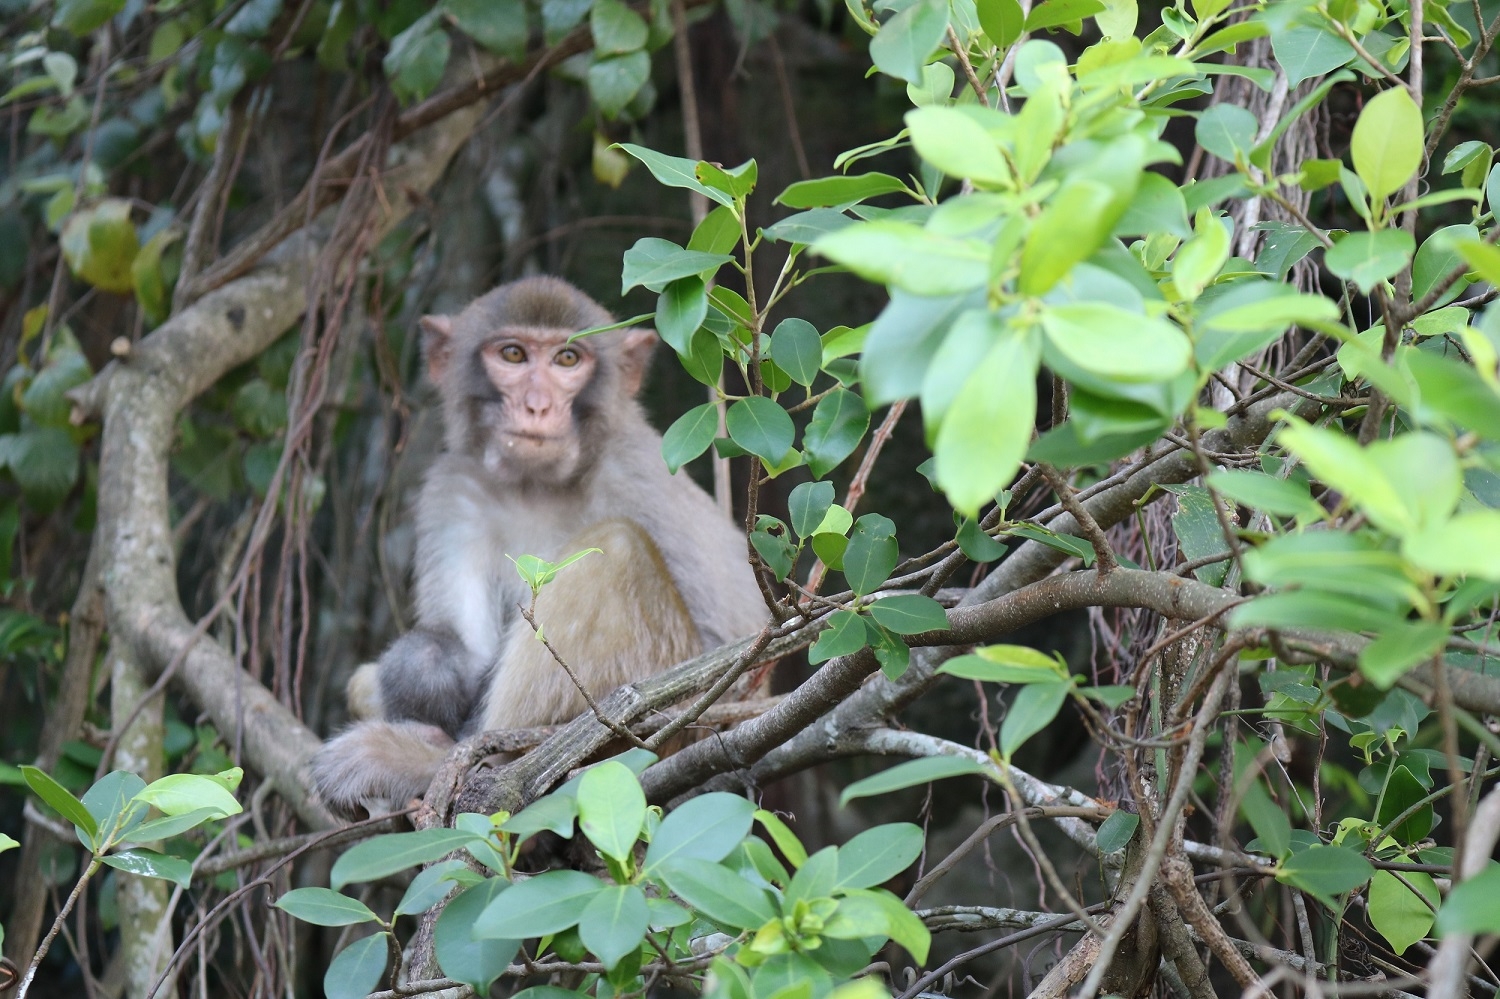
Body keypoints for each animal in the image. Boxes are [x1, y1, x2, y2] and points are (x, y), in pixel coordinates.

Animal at [310, 274, 768, 816]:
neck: (538, 487)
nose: (537, 406)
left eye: (567, 360)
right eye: (513, 354)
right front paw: (426, 671)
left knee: (617, 549)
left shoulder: (643, 468)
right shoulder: (454, 491)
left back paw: (456, 766)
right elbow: (465, 648)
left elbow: (735, 654)